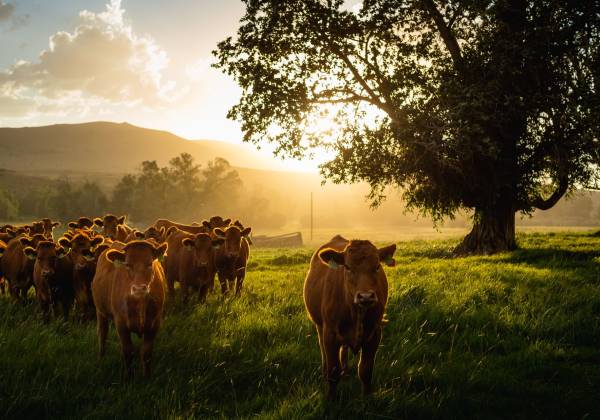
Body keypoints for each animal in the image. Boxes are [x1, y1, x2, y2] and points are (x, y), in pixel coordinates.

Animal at [94, 238, 169, 378]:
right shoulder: (121, 324)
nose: (139, 288)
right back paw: (101, 358)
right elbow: (128, 352)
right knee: (102, 333)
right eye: (128, 265)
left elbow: (146, 354)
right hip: (100, 311)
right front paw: (128, 377)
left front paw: (147, 377)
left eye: (150, 263)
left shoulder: (154, 324)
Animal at [302, 235, 396, 398]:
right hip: (319, 326)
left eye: (377, 266)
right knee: (323, 350)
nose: (366, 296)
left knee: (344, 350)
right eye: (347, 267)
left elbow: (365, 371)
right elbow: (333, 372)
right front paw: (331, 398)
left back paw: (345, 372)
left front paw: (367, 398)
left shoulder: (374, 334)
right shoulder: (330, 334)